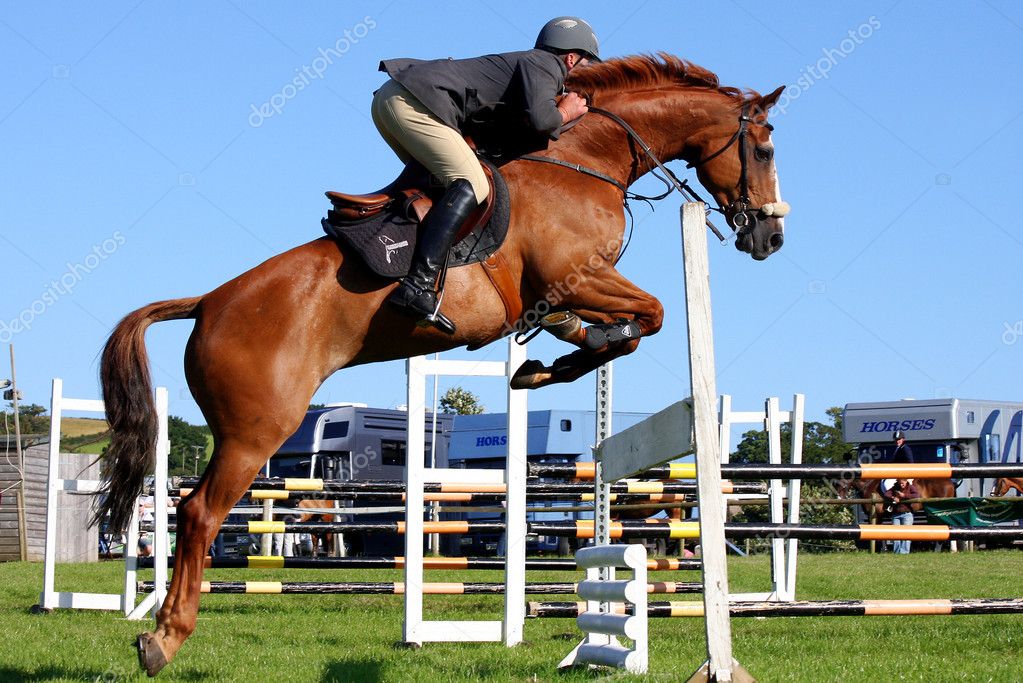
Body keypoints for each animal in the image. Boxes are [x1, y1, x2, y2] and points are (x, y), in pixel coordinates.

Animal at [95, 54, 789, 676]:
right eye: (764, 150)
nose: (770, 239)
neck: (586, 162)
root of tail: (209, 303)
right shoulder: (576, 276)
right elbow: (653, 314)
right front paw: (563, 360)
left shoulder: (562, 292)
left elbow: (616, 328)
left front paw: (546, 364)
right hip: (255, 430)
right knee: (198, 514)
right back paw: (163, 639)